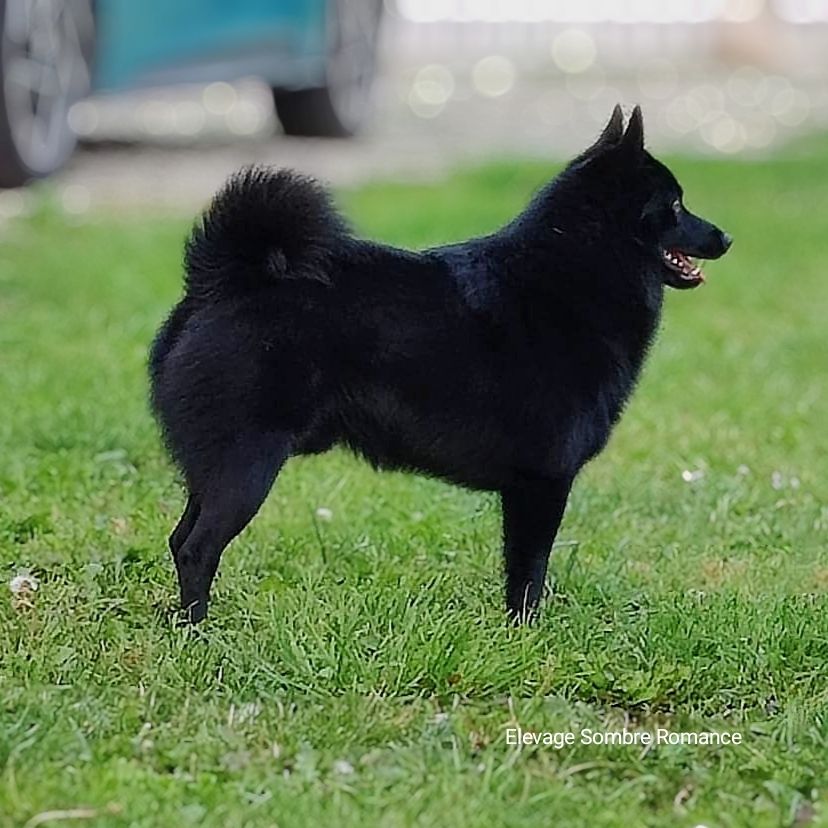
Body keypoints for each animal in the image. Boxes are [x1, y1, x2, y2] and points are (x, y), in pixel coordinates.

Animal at [149, 105, 732, 620]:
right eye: (675, 205)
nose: (725, 236)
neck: (576, 274)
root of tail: (225, 279)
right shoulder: (543, 480)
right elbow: (529, 573)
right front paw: (524, 636)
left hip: (215, 465)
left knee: (179, 539)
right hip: (247, 464)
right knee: (199, 548)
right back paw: (199, 632)